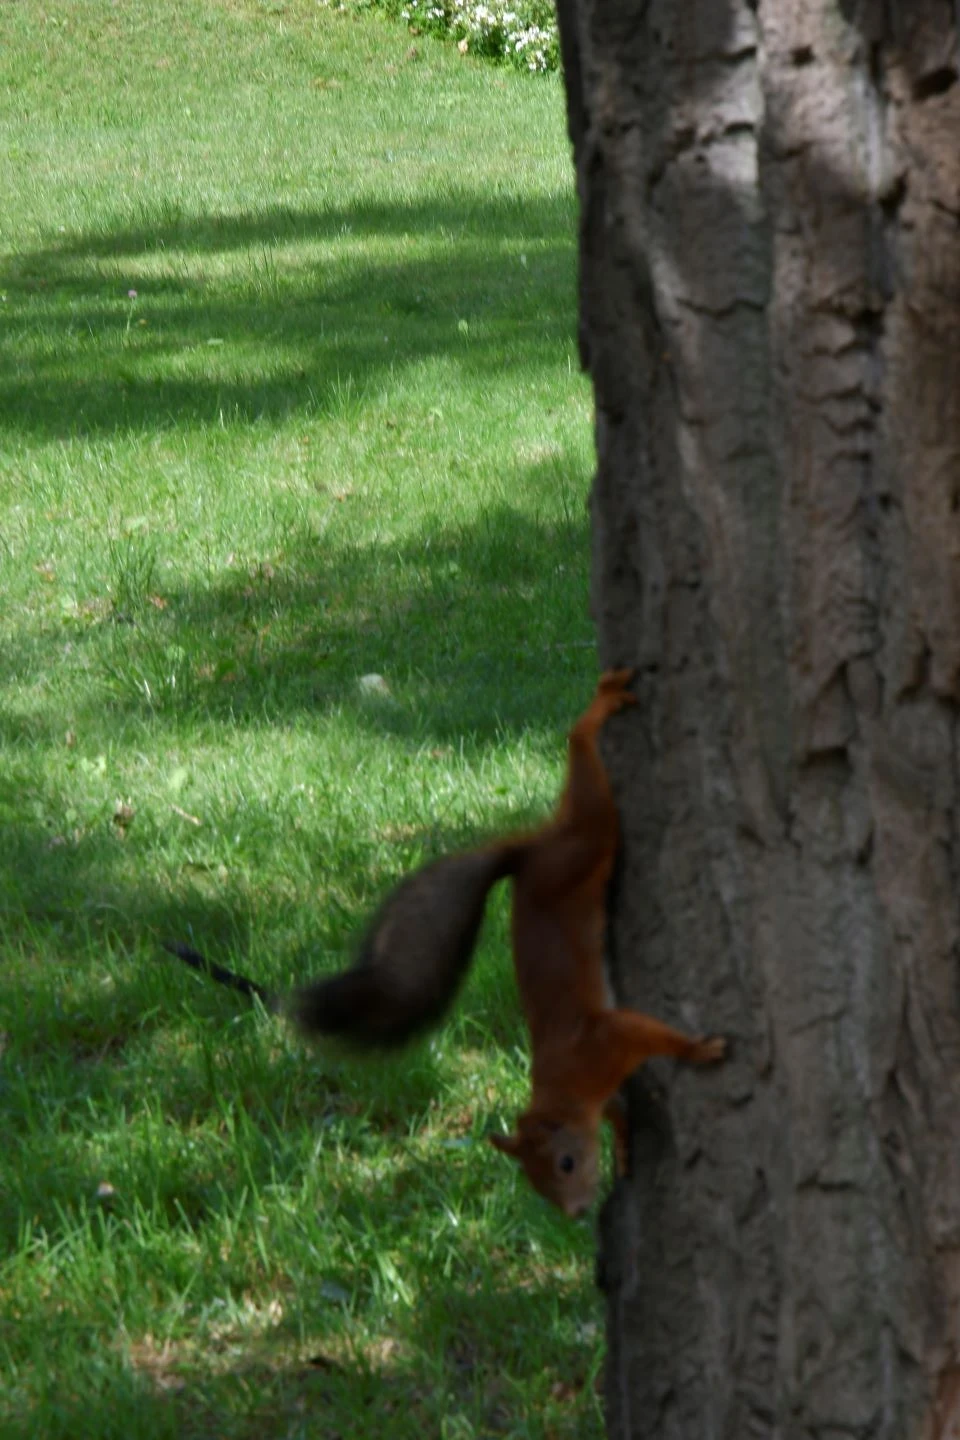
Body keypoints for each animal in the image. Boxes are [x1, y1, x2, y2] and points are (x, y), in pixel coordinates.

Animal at [163, 668, 728, 1209]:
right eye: (537, 1181)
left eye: (565, 1164)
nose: (575, 1212)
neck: (561, 1084)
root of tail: (531, 852)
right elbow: (618, 1105)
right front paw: (628, 1140)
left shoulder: (603, 1042)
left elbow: (648, 1034)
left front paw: (697, 1050)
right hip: (579, 851)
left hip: (585, 843)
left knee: (583, 765)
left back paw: (598, 709)